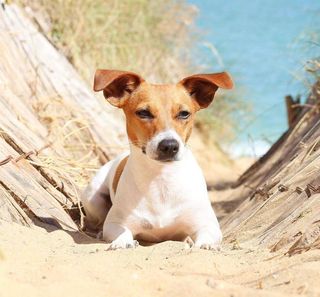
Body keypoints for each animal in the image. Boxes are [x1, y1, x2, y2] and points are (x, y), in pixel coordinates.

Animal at [80, 68, 232, 249]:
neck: (161, 178)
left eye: (184, 114)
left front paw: (205, 245)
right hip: (93, 198)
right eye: (143, 113)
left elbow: (206, 237)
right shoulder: (115, 223)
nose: (169, 145)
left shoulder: (208, 225)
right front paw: (123, 241)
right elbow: (121, 231)